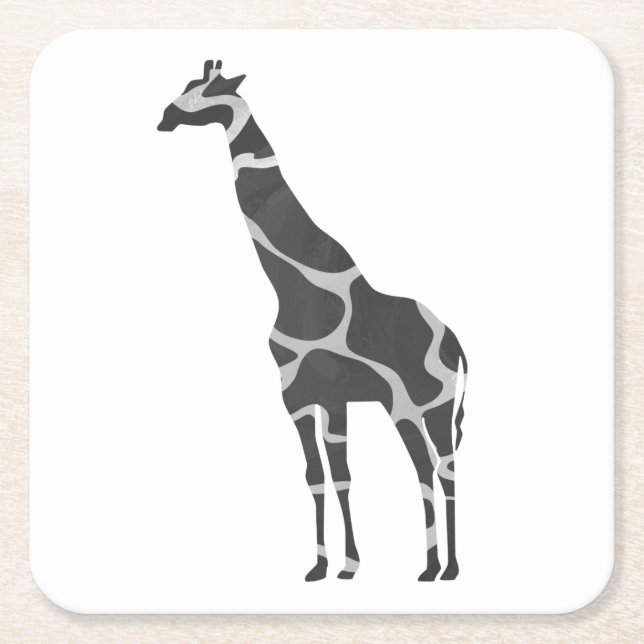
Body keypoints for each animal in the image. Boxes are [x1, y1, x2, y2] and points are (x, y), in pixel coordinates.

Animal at [158, 60, 468, 582]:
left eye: (207, 91)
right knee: (427, 468)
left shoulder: (334, 393)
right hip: (408, 407)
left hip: (429, 404)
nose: (164, 118)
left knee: (440, 469)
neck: (291, 285)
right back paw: (432, 566)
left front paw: (349, 565)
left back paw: (445, 570)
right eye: (186, 85)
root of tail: (457, 344)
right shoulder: (299, 398)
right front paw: (322, 566)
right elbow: (317, 477)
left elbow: (342, 475)